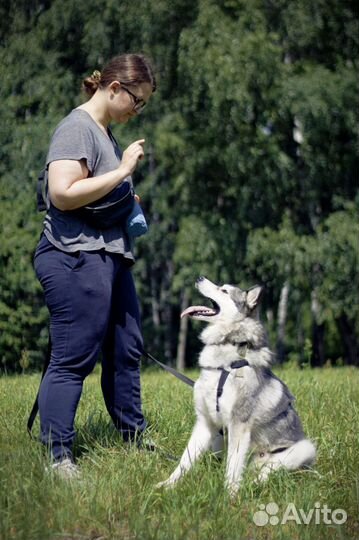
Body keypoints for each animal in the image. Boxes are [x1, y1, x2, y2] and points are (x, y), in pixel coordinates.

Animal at [159, 276, 316, 496]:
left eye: (224, 290)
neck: (224, 365)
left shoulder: (238, 425)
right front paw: (168, 485)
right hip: (218, 440)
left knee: (268, 472)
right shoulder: (205, 423)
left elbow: (232, 467)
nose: (199, 278)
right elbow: (185, 460)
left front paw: (229, 496)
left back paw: (255, 484)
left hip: (304, 449)